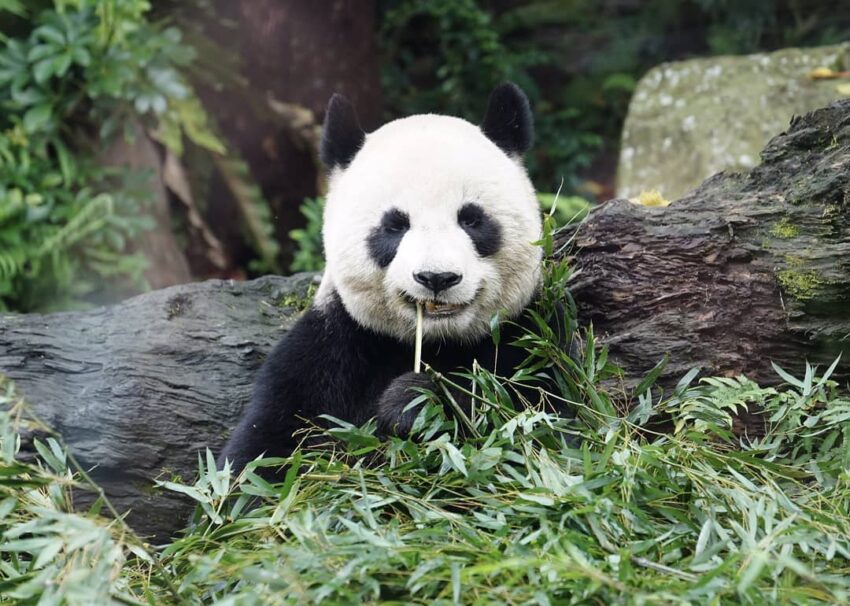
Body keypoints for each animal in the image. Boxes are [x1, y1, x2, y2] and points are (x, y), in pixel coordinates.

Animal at [219, 83, 568, 472]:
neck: (435, 343)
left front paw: (415, 402)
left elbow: (538, 429)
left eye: (471, 219)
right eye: (395, 225)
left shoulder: (531, 342)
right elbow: (268, 453)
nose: (436, 277)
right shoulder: (329, 350)